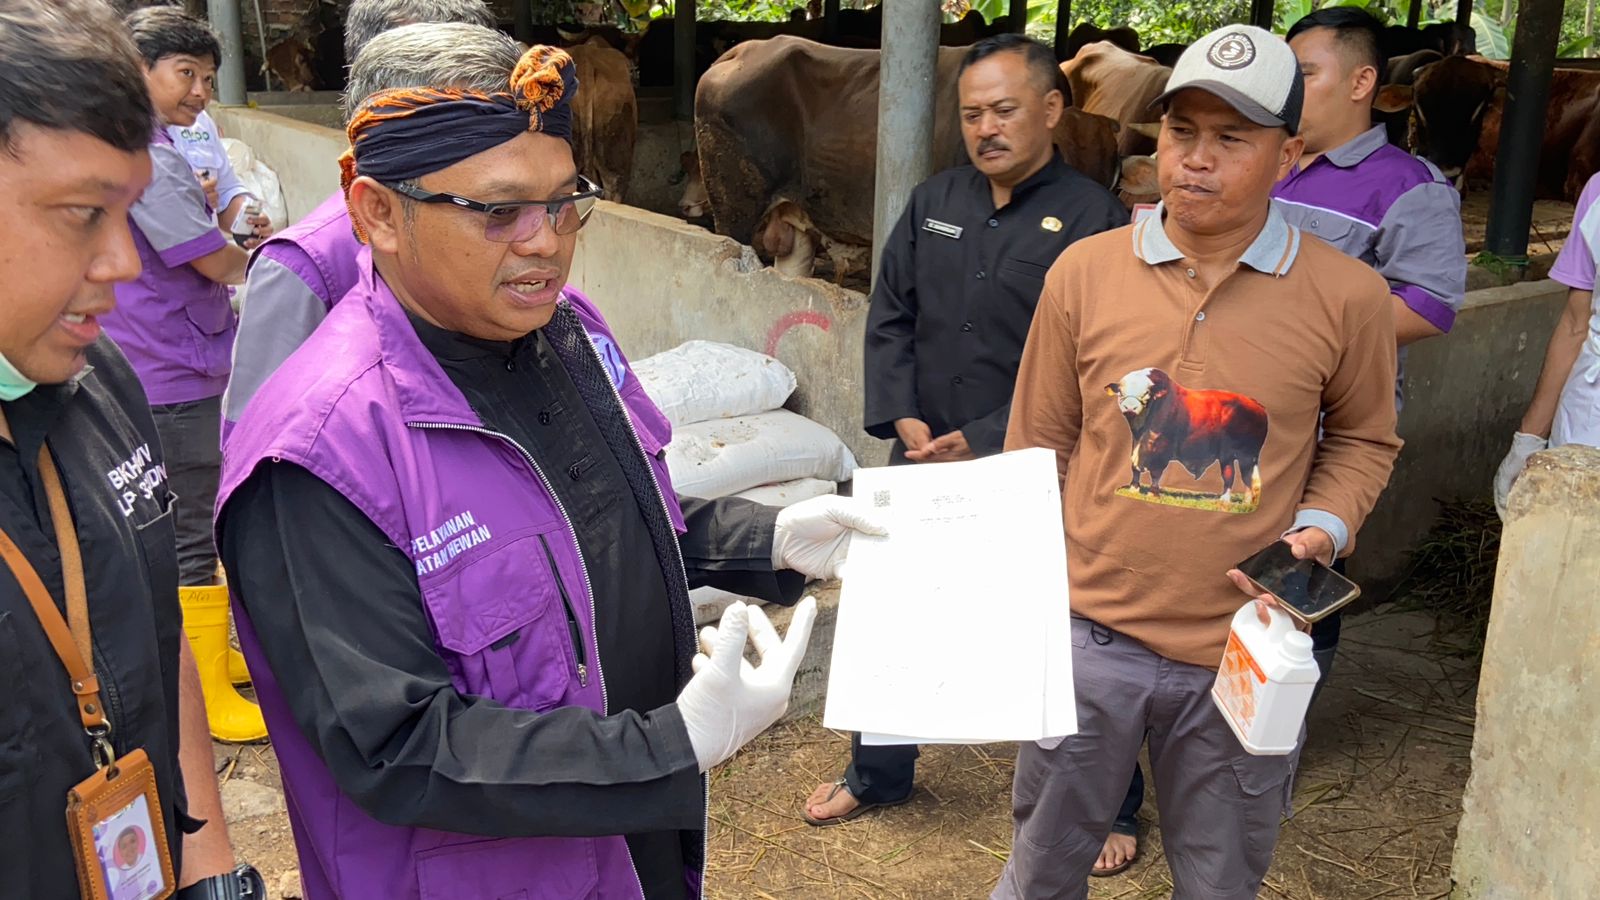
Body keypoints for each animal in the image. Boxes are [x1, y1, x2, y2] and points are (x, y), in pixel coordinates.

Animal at [1107, 366, 1267, 506]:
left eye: (1146, 392)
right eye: (1120, 392)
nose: (1129, 407)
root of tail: (1256, 404)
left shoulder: (1162, 448)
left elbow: (1156, 472)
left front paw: (1153, 493)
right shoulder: (1136, 443)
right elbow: (1134, 466)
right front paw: (1133, 488)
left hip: (1247, 455)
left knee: (1246, 477)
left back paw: (1239, 502)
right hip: (1227, 455)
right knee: (1231, 474)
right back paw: (1233, 501)